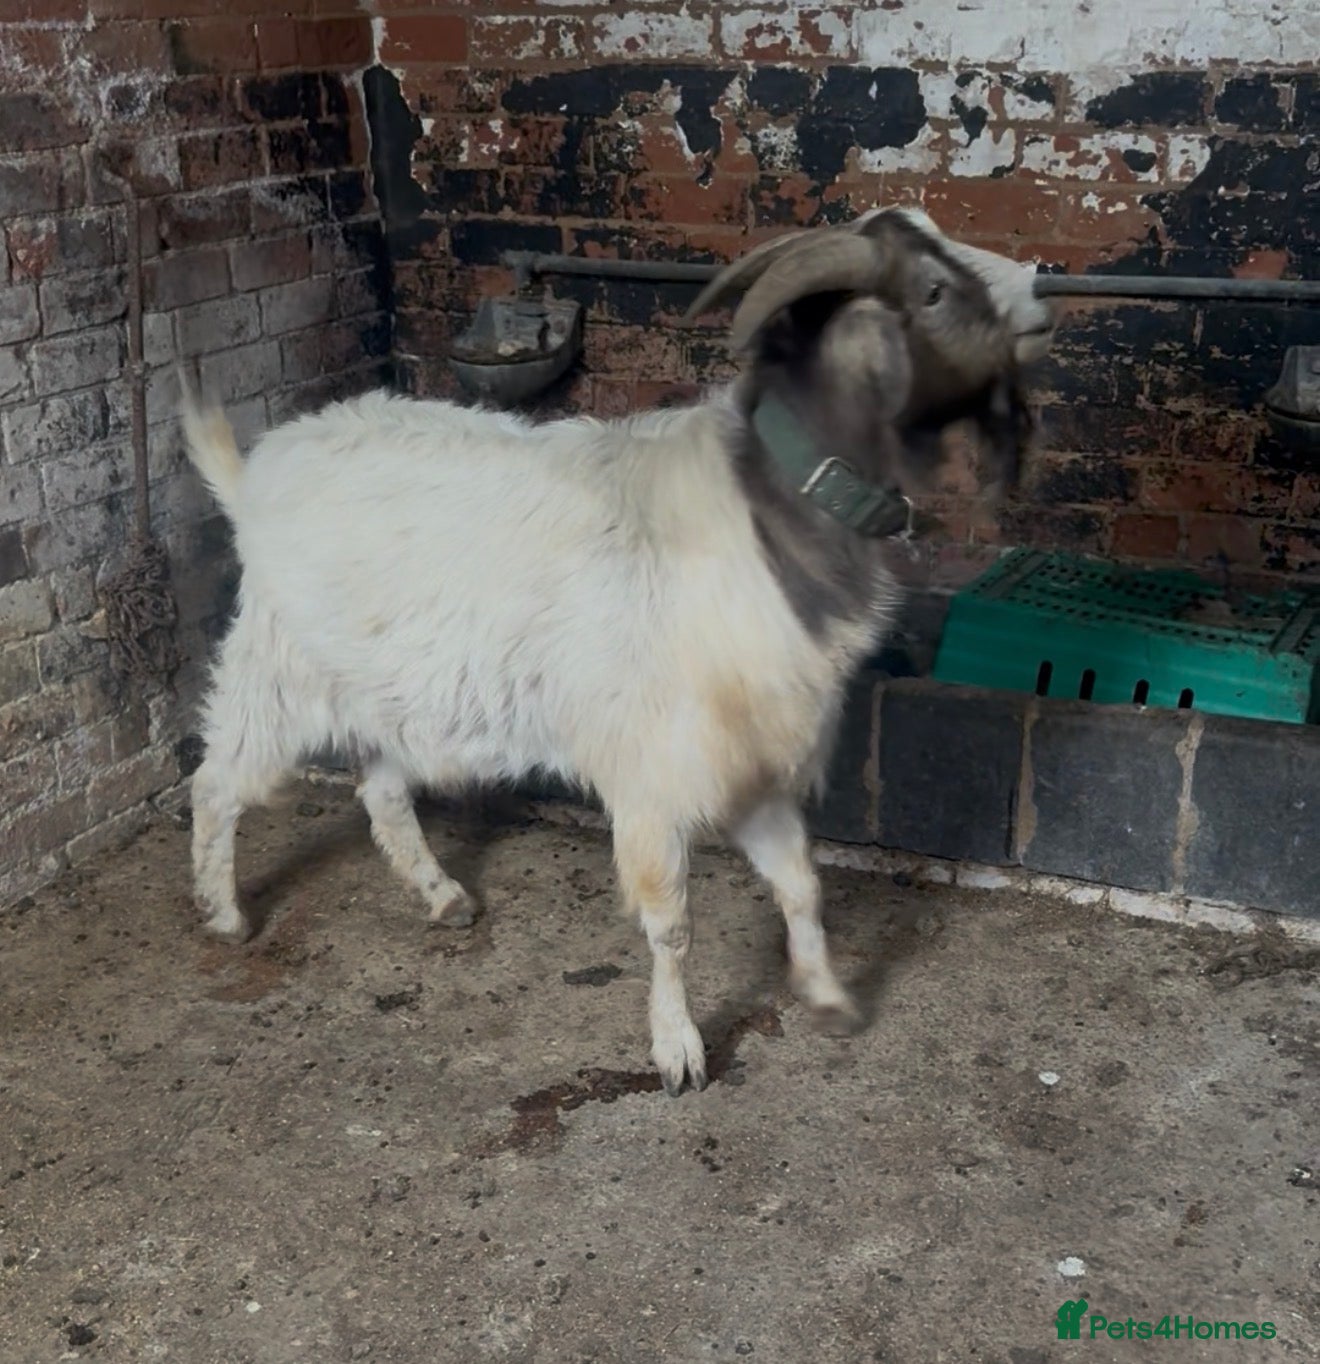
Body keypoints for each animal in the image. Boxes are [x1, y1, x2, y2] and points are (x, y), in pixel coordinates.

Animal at [180, 206, 1055, 1095]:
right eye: (933, 291)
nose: (1040, 301)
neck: (764, 515)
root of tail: (252, 476)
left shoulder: (748, 757)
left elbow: (802, 885)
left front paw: (828, 997)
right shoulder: (657, 769)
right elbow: (671, 921)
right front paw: (678, 1049)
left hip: (388, 684)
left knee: (383, 791)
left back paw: (443, 896)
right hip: (276, 672)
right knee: (217, 784)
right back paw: (225, 915)